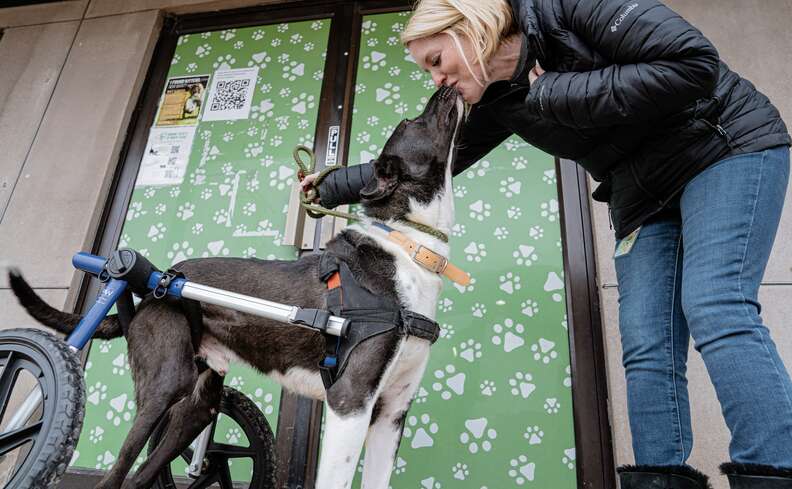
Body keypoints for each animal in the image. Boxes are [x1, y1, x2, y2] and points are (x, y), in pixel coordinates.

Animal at [10, 86, 464, 486]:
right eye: (412, 121)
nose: (447, 85)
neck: (408, 244)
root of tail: (153, 286)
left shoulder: (390, 415)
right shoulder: (350, 402)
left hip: (199, 406)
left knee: (141, 474)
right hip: (164, 385)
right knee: (116, 475)